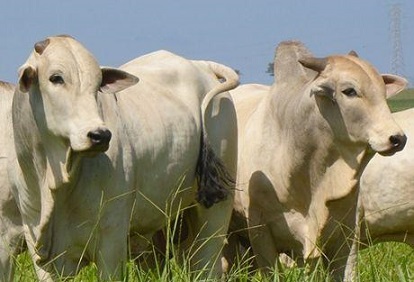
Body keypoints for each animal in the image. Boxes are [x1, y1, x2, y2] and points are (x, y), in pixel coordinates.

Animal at [8, 35, 238, 280]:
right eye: (55, 78)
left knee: (208, 263)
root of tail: (200, 64)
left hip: (215, 211)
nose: (100, 135)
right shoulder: (37, 246)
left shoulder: (112, 239)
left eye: (98, 84)